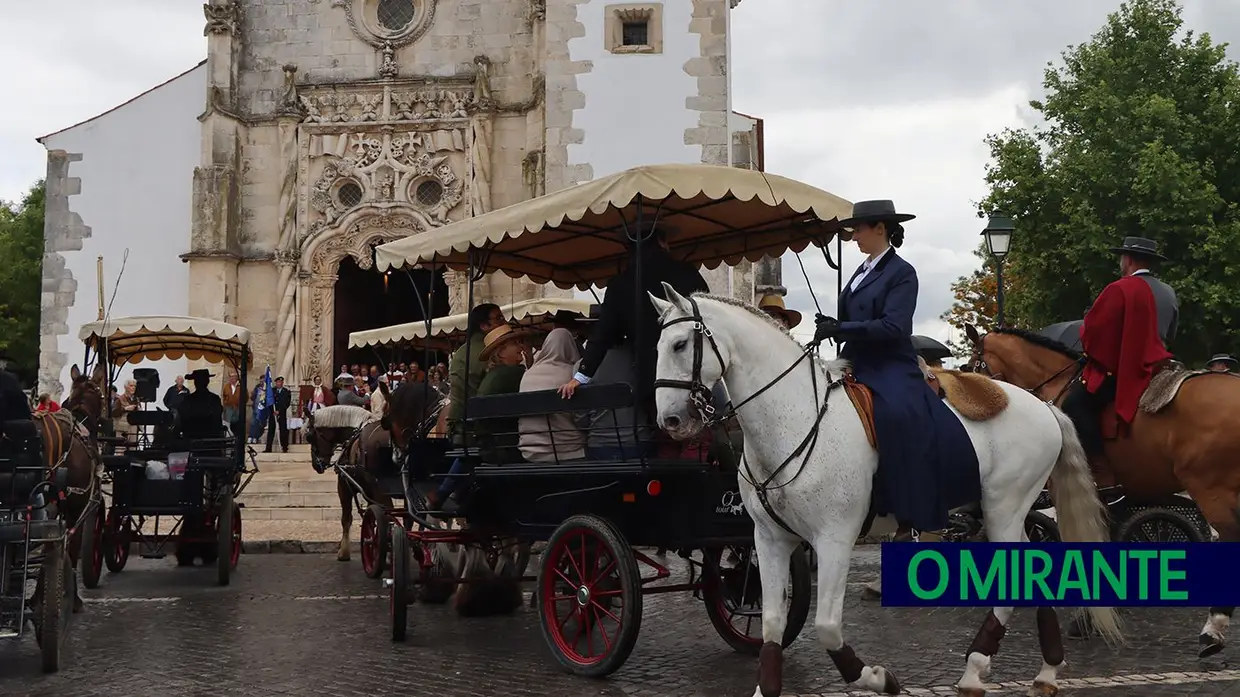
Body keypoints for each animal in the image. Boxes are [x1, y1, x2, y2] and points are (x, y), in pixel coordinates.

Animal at [305, 404, 391, 560]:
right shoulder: (369, 491)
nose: (316, 465)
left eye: (309, 436)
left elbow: (346, 519)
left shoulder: (344, 486)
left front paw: (343, 551)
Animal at [649, 284, 1125, 694]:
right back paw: (1040, 670)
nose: (670, 422)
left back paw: (978, 667)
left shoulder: (834, 539)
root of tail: (1042, 405)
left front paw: (877, 678)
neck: (794, 417)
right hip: (1007, 512)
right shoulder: (768, 539)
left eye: (679, 345)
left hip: (1003, 508)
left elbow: (827, 628)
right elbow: (770, 625)